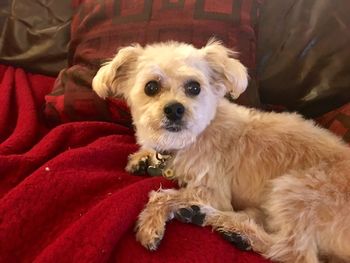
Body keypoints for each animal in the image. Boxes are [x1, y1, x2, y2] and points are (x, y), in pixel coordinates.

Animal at [92, 39, 350, 263]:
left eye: (194, 87)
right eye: (151, 87)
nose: (175, 109)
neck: (191, 138)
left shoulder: (214, 190)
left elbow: (162, 195)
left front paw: (149, 223)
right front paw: (141, 159)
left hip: (296, 191)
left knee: (293, 251)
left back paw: (233, 228)